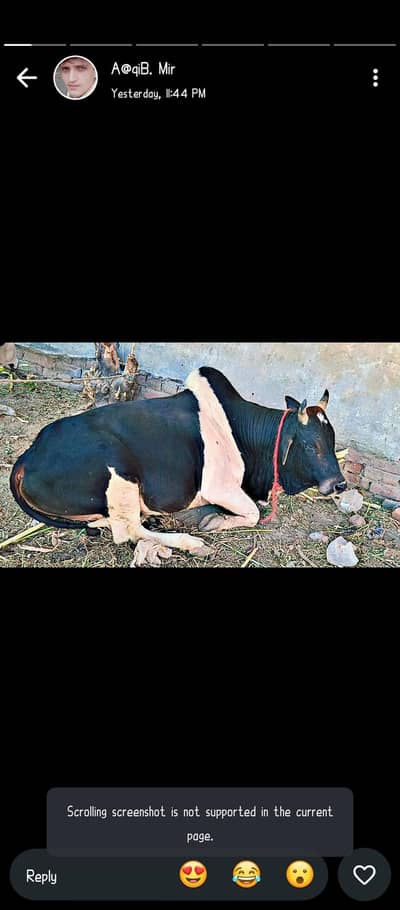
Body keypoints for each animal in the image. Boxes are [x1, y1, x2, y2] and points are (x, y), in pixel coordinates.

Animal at [10, 366, 346, 566]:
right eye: (311, 445)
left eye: (332, 439)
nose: (340, 484)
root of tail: (28, 455)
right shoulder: (219, 486)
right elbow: (252, 514)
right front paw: (215, 522)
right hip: (118, 471)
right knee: (127, 530)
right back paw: (190, 542)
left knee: (110, 523)